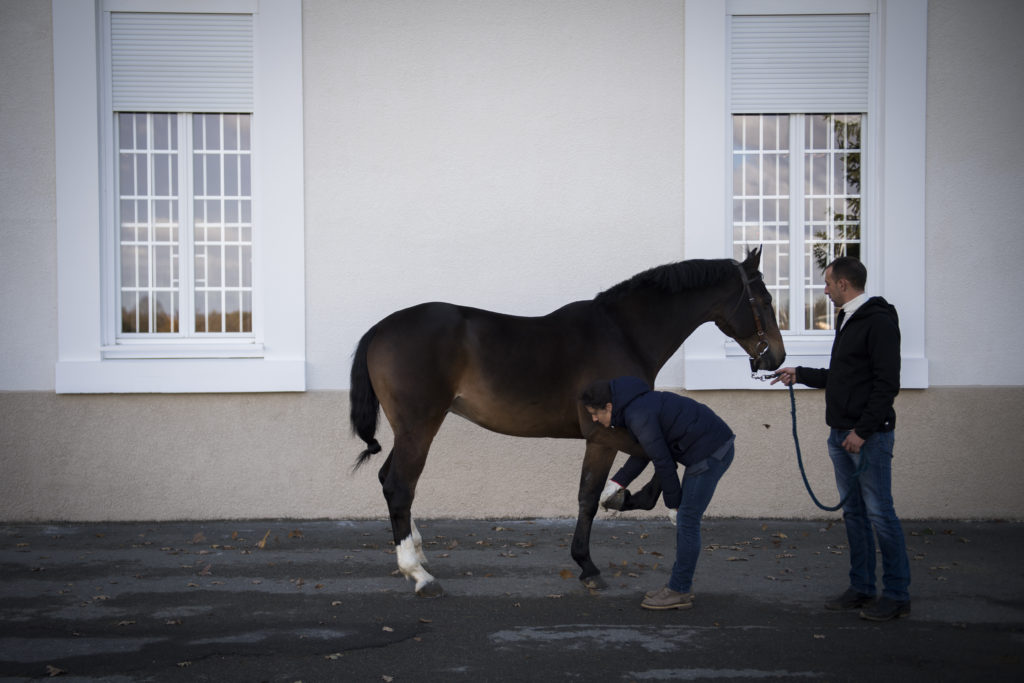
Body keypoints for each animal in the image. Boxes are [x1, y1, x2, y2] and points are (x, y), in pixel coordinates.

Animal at [350, 248, 782, 593]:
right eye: (764, 298)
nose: (775, 357)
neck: (624, 333)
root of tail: (381, 329)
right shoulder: (605, 434)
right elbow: (601, 491)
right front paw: (593, 557)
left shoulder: (616, 431)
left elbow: (623, 476)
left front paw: (621, 502)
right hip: (420, 427)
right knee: (399, 487)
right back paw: (418, 574)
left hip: (410, 430)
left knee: (389, 480)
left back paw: (418, 556)